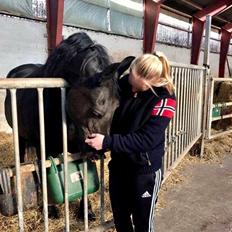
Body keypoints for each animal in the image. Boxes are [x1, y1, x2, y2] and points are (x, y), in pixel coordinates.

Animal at [3, 32, 134, 219]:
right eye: (96, 111)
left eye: (117, 107)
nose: (101, 150)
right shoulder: (45, 147)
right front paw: (50, 210)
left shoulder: (78, 147)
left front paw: (87, 211)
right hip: (20, 137)